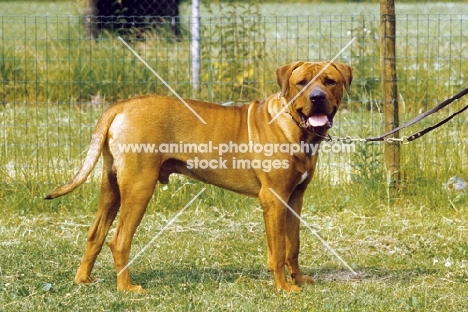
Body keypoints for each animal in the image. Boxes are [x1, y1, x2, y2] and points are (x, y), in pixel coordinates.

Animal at [46, 61, 352, 292]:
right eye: (302, 83)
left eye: (329, 81)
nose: (317, 98)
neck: (294, 127)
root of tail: (121, 106)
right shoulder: (274, 199)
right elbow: (278, 249)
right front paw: (284, 287)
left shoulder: (295, 198)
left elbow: (293, 245)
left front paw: (298, 279)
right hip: (138, 188)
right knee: (119, 240)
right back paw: (127, 288)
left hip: (111, 188)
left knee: (95, 234)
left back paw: (84, 279)